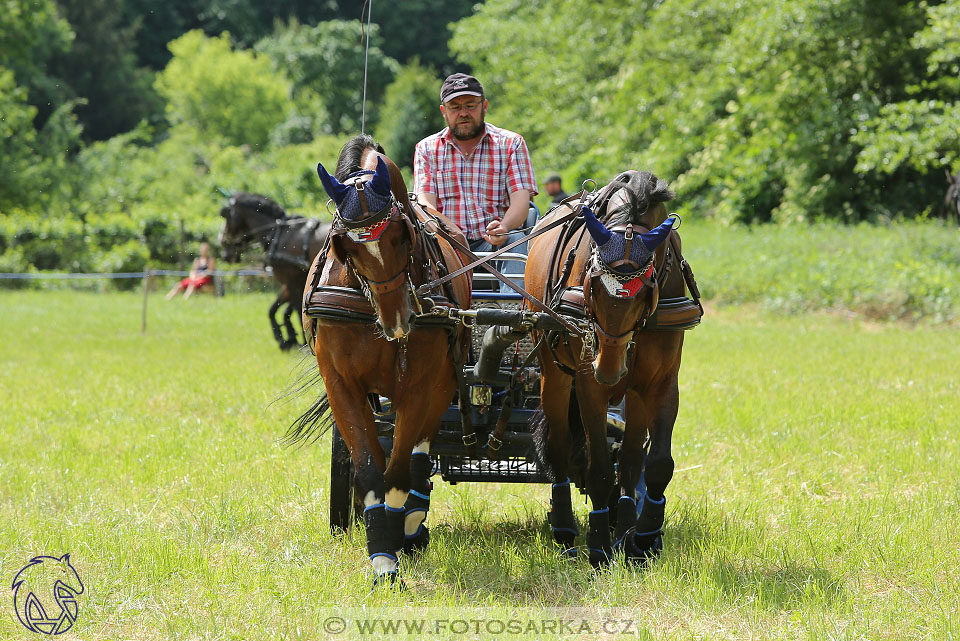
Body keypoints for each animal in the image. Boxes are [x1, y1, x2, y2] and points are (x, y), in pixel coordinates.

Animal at [219, 192, 332, 350]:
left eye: (227, 216)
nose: (224, 251)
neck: (278, 234)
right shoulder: (290, 284)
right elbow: (274, 309)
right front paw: (286, 339)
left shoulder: (292, 283)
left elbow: (296, 311)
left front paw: (299, 342)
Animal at [290, 134, 474, 584]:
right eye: (347, 249)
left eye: (400, 237)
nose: (398, 320)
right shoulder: (341, 385)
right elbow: (371, 467)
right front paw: (382, 556)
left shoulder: (418, 386)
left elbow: (398, 471)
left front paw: (396, 536)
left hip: (444, 382)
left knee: (421, 453)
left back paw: (411, 522)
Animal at [524, 170, 684, 564]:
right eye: (591, 286)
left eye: (646, 290)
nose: (609, 370)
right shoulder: (588, 385)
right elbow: (597, 468)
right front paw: (598, 545)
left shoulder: (661, 383)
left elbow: (656, 463)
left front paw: (642, 538)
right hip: (555, 374)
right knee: (559, 447)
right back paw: (565, 530)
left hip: (634, 394)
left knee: (629, 461)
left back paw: (624, 528)